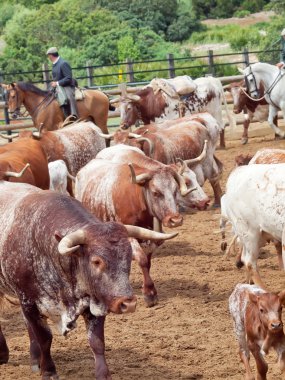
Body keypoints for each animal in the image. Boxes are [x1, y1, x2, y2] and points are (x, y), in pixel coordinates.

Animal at [0, 181, 172, 380]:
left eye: (129, 257)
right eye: (96, 261)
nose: (128, 303)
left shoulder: (95, 302)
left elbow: (97, 342)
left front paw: (103, 374)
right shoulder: (29, 302)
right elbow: (45, 338)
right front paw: (49, 371)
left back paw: (34, 359)